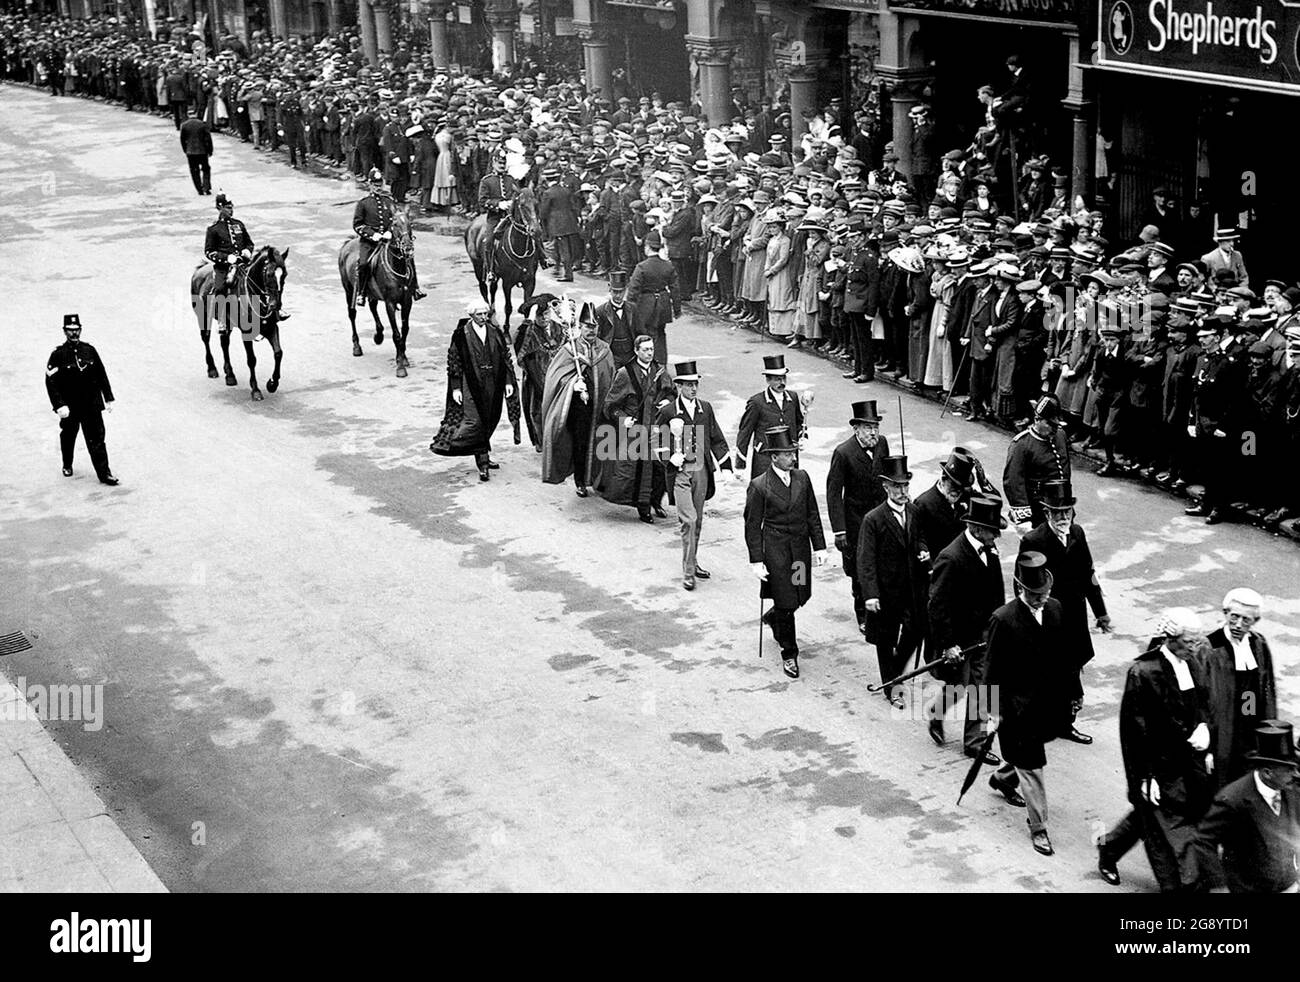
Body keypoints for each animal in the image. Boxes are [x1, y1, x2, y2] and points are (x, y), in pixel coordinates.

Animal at [189, 247, 291, 400]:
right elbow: (251, 360)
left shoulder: (271, 327)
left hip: (227, 323)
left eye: (284, 274)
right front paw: (255, 390)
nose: (275, 305)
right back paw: (212, 369)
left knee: (224, 342)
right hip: (203, 316)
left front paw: (272, 384)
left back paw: (230, 375)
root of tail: (200, 269)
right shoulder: (246, 333)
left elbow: (278, 353)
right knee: (206, 338)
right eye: (269, 274)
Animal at [340, 206, 416, 377]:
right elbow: (396, 334)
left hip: (371, 292)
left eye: (410, 223)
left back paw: (379, 334)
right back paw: (357, 347)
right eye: (394, 224)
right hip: (349, 290)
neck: (397, 267)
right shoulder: (390, 303)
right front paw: (400, 366)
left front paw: (403, 357)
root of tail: (348, 242)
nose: (408, 247)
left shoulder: (407, 301)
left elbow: (405, 330)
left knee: (372, 306)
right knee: (352, 314)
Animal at [465, 188, 540, 338]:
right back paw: (487, 313)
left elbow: (527, 307)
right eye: (522, 205)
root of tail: (473, 223)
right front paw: (506, 331)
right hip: (478, 266)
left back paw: (492, 313)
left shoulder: (530, 281)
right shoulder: (508, 282)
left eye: (536, 203)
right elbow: (508, 307)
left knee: (493, 289)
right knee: (484, 289)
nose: (536, 230)